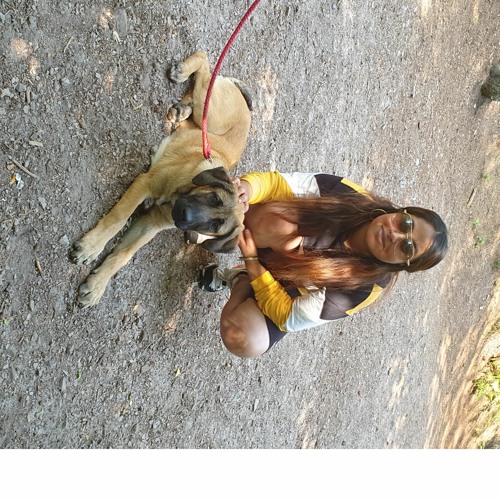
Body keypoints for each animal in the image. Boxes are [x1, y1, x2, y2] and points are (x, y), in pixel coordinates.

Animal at [71, 51, 252, 308]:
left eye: (214, 226)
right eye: (214, 198)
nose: (185, 216)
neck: (179, 192)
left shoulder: (152, 223)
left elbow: (124, 254)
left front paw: (97, 285)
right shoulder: (145, 182)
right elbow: (117, 218)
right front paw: (91, 246)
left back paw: (180, 111)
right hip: (212, 113)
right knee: (206, 66)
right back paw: (183, 71)